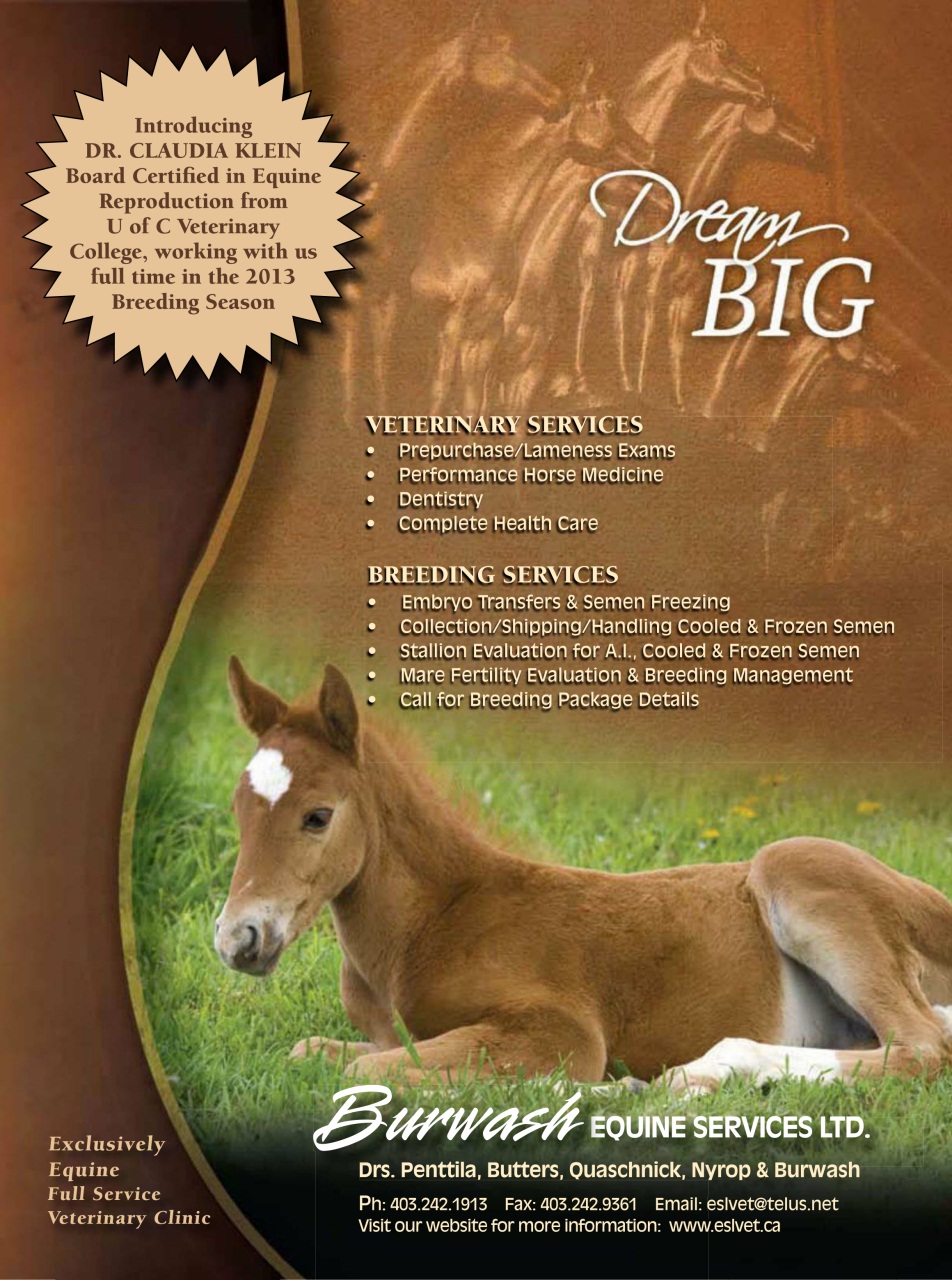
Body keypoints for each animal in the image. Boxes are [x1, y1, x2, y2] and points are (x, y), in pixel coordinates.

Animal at [215, 660, 952, 1093]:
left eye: (317, 816)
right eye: (238, 808)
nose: (237, 939)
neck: (431, 924)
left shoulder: (561, 1030)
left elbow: (363, 1067)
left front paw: (589, 1089)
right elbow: (316, 1050)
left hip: (797, 869)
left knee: (922, 1047)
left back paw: (699, 1074)